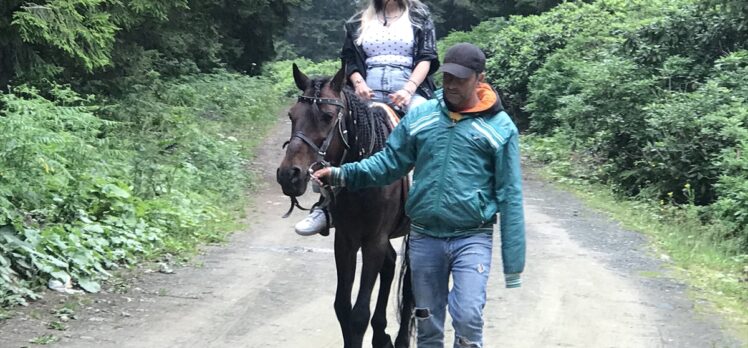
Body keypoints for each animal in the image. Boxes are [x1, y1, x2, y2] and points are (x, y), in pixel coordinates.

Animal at [276, 63, 414, 348]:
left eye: (328, 116)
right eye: (292, 115)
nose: (288, 176)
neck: (365, 174)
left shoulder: (374, 241)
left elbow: (359, 314)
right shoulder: (346, 240)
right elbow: (342, 307)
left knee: (410, 284)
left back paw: (401, 338)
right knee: (390, 265)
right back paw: (381, 334)